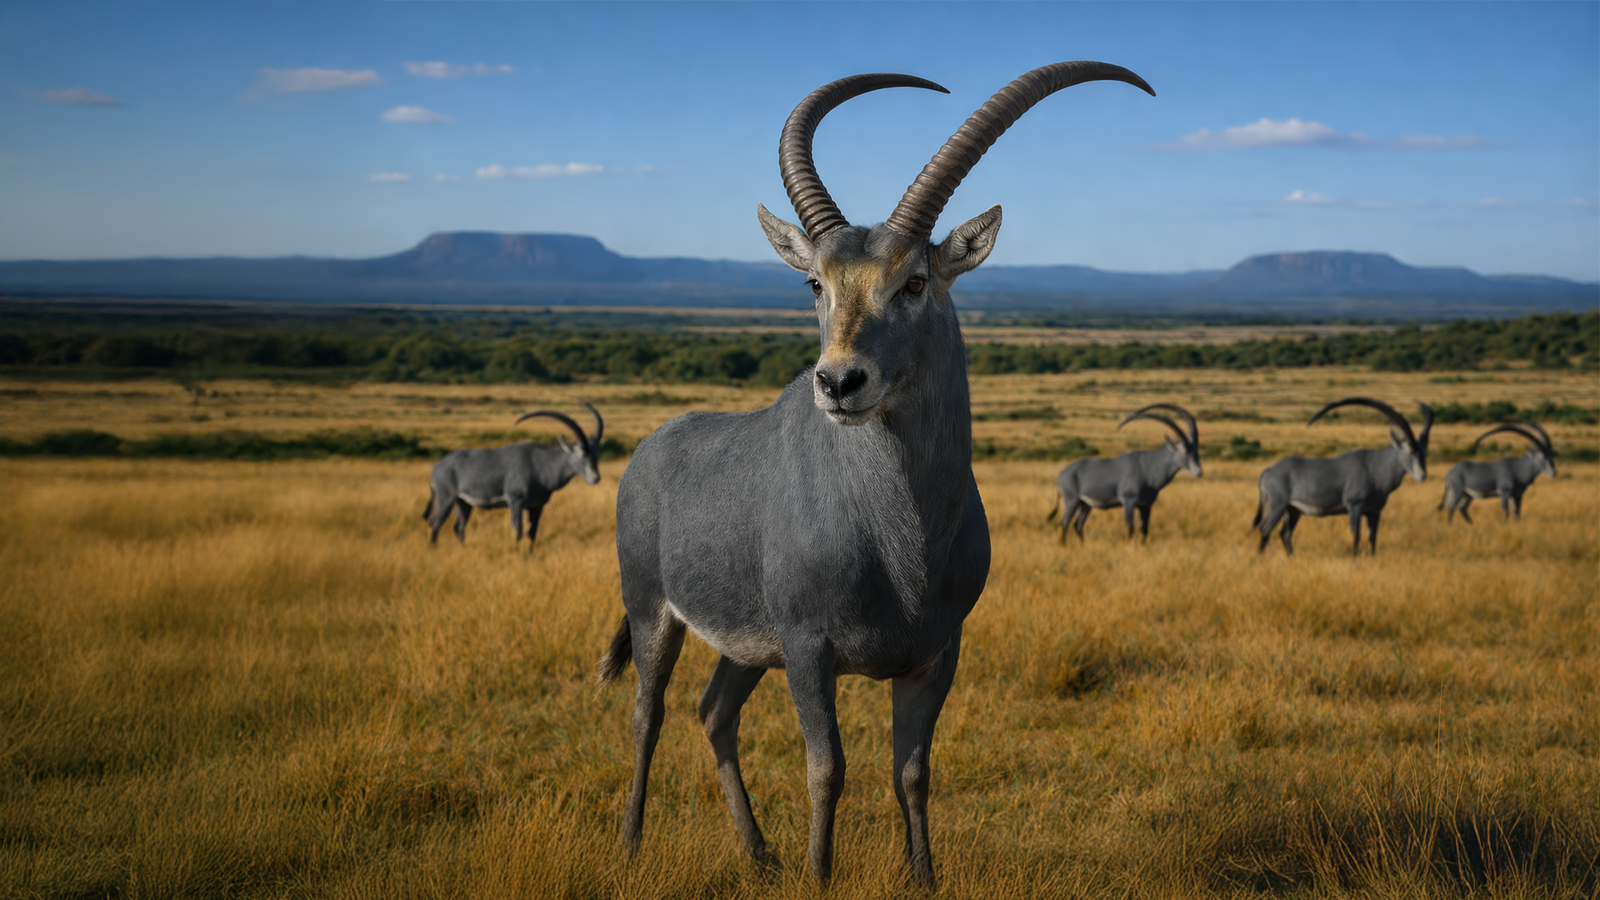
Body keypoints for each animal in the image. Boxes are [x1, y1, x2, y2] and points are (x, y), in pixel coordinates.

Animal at [423, 402, 603, 549]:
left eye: (596, 454)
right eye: (582, 453)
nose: (595, 478)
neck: (541, 465)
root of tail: (437, 466)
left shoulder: (536, 506)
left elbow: (532, 533)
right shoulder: (516, 501)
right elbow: (518, 531)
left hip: (463, 503)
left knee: (458, 526)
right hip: (446, 498)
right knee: (436, 522)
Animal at [598, 62, 1154, 886]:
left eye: (915, 280)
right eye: (815, 284)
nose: (838, 383)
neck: (901, 540)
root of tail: (652, 451)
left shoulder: (935, 655)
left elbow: (912, 772)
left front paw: (923, 878)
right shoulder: (809, 650)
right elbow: (827, 768)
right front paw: (819, 877)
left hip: (745, 648)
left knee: (715, 712)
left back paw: (759, 856)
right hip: (653, 613)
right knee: (649, 711)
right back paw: (633, 846)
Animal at [1049, 403, 1201, 543]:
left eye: (1196, 449)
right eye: (1185, 450)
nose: (1199, 472)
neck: (1149, 466)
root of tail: (1062, 473)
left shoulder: (1146, 505)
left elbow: (1144, 530)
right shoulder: (1128, 502)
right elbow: (1130, 528)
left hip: (1085, 504)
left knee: (1077, 525)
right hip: (1072, 500)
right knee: (1064, 523)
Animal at [1253, 397, 1433, 556]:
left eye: (1424, 451)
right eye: (1410, 449)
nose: (1422, 475)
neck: (1376, 467)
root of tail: (1267, 472)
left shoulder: (1374, 512)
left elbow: (1373, 538)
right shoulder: (1354, 507)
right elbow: (1356, 536)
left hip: (1293, 510)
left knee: (1284, 533)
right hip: (1277, 506)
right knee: (1265, 529)